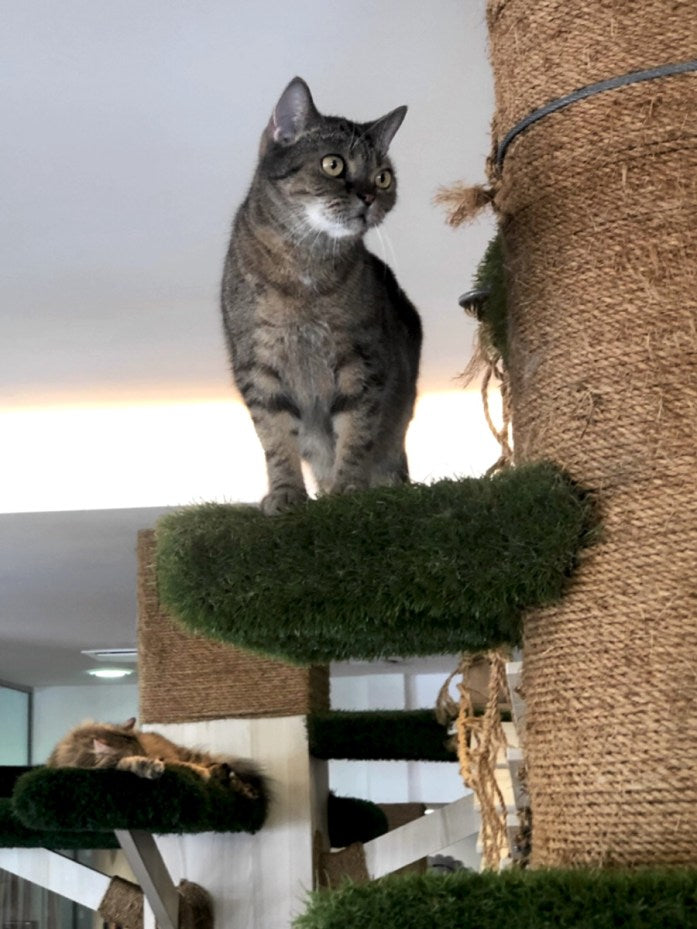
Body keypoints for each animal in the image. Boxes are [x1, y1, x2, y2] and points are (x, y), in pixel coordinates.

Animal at [46, 716, 264, 796]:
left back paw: (245, 789)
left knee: (226, 771)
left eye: (147, 752)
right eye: (141, 755)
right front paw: (150, 768)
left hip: (192, 756)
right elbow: (129, 763)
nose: (157, 760)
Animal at [220, 77, 422, 516]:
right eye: (334, 164)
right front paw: (286, 494)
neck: (305, 269)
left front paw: (348, 489)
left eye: (383, 178)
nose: (369, 196)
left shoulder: (362, 362)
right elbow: (276, 439)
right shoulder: (258, 367)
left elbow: (356, 431)